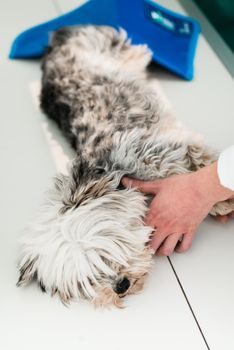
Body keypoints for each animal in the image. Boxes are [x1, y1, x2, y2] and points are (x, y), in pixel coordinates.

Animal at [17, 26, 234, 308]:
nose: (120, 286)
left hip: (112, 47)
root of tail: (55, 38)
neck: (111, 174)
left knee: (136, 51)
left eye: (107, 252)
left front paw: (222, 200)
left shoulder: (161, 149)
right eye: (85, 282)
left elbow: (198, 159)